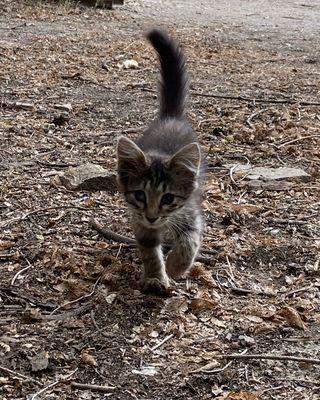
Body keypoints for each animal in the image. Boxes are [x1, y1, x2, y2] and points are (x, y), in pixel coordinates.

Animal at [117, 27, 202, 290]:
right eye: (140, 195)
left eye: (168, 198)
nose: (153, 217)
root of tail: (170, 117)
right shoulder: (140, 222)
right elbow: (149, 251)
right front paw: (156, 276)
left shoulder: (191, 212)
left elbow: (189, 243)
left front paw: (175, 267)